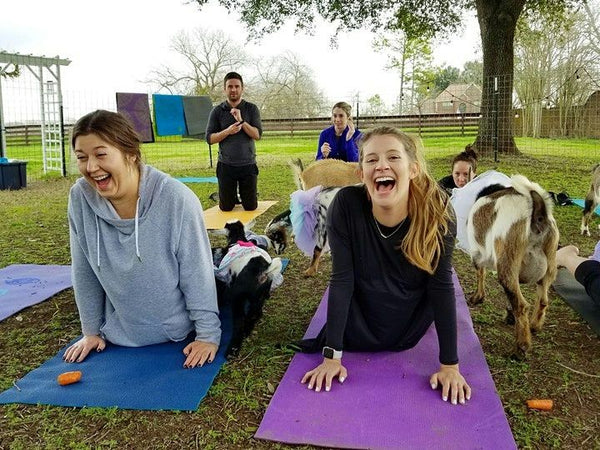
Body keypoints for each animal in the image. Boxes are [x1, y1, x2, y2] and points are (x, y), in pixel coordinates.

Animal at [213, 220, 284, 356]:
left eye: (225, 226)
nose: (212, 230)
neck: (239, 238)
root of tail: (264, 270)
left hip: (238, 297)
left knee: (240, 321)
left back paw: (233, 348)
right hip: (259, 296)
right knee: (256, 313)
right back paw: (248, 330)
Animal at [466, 175, 560, 358]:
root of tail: (537, 213)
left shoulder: (477, 253)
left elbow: (480, 273)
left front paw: (477, 297)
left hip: (506, 262)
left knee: (521, 306)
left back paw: (520, 347)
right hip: (549, 264)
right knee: (542, 299)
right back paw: (534, 326)